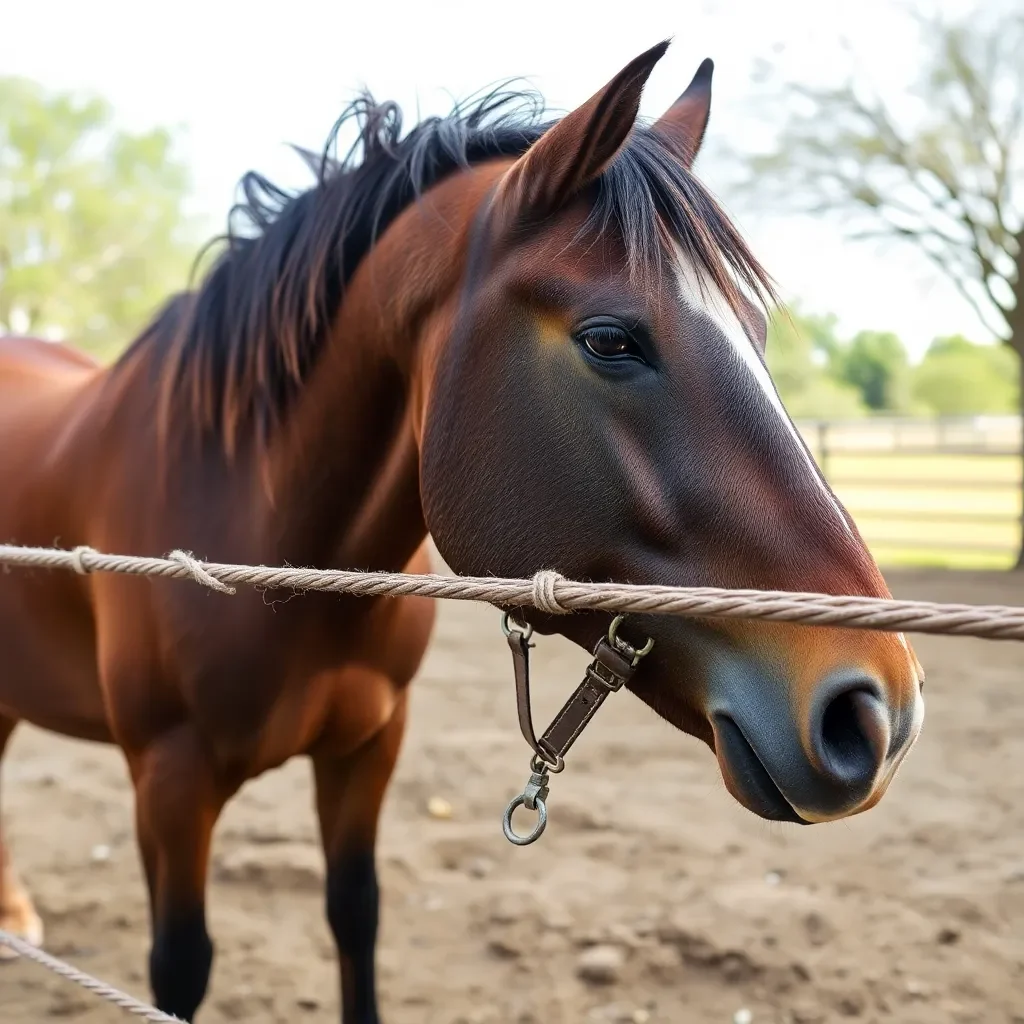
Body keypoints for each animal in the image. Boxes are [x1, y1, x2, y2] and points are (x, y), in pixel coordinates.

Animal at [0, 39, 925, 1024]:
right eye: (610, 340)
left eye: (755, 330)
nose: (879, 711)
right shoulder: (169, 782)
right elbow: (180, 968)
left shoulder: (368, 748)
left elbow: (355, 914)